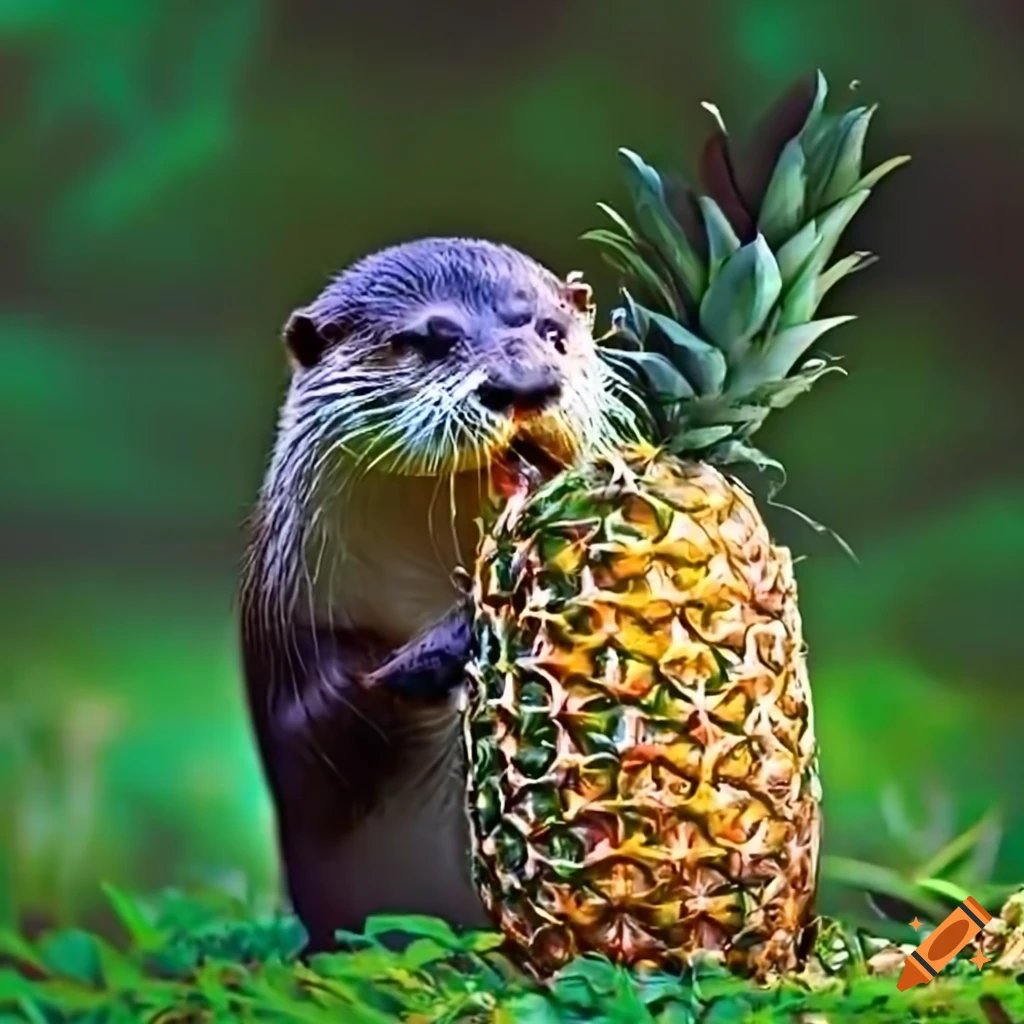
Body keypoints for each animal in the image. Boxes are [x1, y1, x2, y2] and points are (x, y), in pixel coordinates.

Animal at [240, 237, 631, 951]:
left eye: (553, 332)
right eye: (431, 340)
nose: (525, 383)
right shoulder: (289, 630)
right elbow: (326, 732)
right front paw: (458, 637)